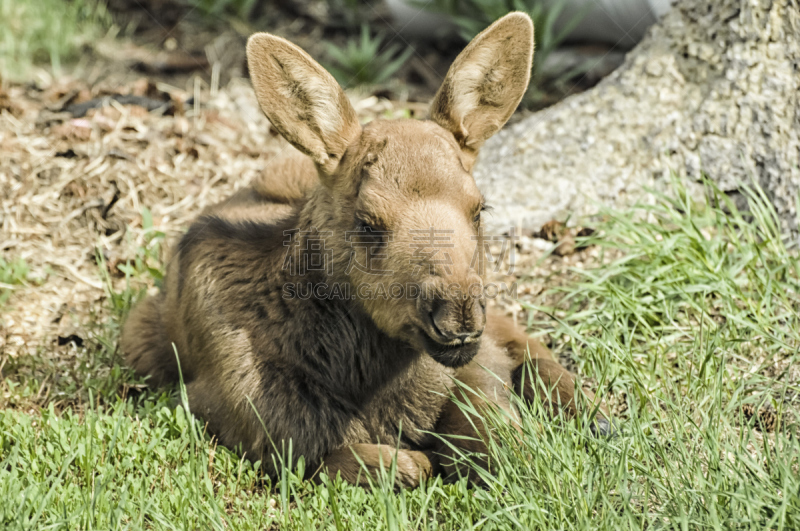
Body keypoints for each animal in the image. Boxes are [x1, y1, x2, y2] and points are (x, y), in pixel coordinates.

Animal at [122, 12, 612, 488]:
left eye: (479, 208)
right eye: (367, 223)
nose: (457, 315)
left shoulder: (479, 361)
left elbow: (499, 440)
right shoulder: (233, 417)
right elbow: (397, 464)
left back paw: (593, 414)